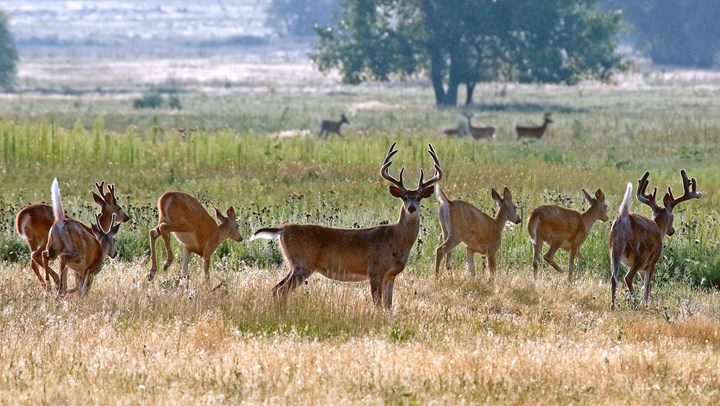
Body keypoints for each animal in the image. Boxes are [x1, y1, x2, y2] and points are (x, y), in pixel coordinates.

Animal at [250, 142, 442, 308]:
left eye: (419, 198)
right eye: (404, 197)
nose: (411, 208)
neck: (395, 238)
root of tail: (283, 229)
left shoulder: (390, 275)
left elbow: (388, 305)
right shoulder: (375, 271)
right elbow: (378, 304)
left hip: (294, 265)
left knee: (276, 288)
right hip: (302, 264)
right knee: (281, 290)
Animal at [612, 170, 700, 310]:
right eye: (673, 217)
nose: (672, 231)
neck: (658, 228)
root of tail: (623, 220)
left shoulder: (642, 268)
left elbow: (646, 285)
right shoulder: (652, 261)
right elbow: (647, 285)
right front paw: (645, 304)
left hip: (614, 248)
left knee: (614, 278)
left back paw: (614, 305)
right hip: (641, 253)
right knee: (628, 278)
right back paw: (635, 303)